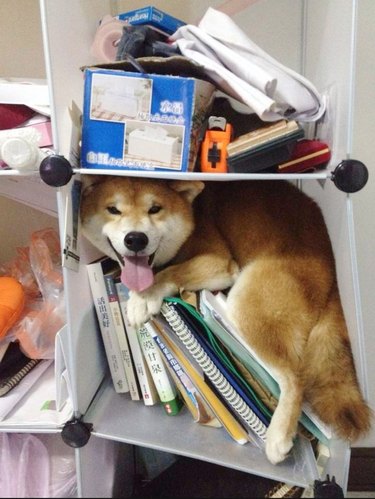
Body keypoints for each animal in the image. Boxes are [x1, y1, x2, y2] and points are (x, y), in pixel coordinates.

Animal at [81, 176, 372, 464]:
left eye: (155, 209)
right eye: (113, 210)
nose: (135, 239)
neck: (193, 215)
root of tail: (333, 278)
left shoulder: (217, 262)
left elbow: (171, 272)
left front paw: (143, 297)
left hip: (248, 304)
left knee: (294, 378)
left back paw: (278, 437)